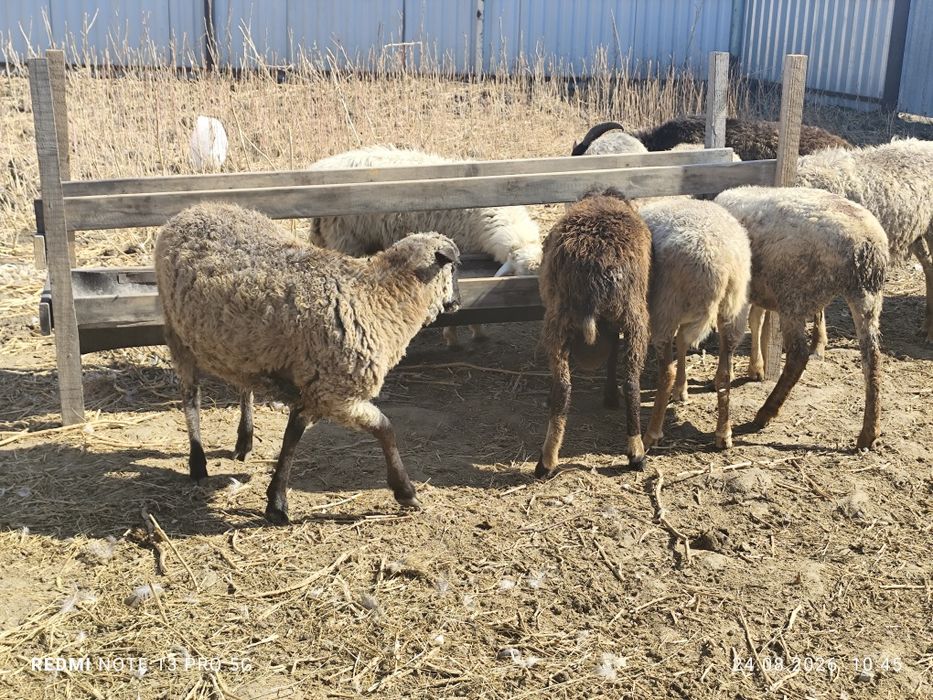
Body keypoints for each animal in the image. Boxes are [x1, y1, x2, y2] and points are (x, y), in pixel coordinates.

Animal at [154, 202, 461, 523]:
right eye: (455, 268)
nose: (457, 303)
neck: (382, 298)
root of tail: (193, 209)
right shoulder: (336, 394)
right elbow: (385, 428)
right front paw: (406, 491)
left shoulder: (313, 385)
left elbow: (292, 438)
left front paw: (276, 499)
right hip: (175, 330)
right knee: (191, 397)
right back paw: (197, 462)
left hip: (243, 345)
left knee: (243, 386)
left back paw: (244, 440)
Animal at [535, 189, 652, 477]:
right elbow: (611, 357)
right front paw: (609, 396)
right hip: (633, 317)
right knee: (631, 383)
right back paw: (636, 453)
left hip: (558, 320)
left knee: (564, 387)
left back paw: (546, 462)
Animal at [639, 199, 752, 450]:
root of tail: (718, 266)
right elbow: (682, 343)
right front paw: (682, 389)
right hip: (734, 308)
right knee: (724, 374)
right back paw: (723, 433)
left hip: (666, 307)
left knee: (666, 372)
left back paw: (652, 434)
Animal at [714, 187, 888, 449]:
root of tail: (865, 242)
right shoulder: (758, 291)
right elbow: (757, 320)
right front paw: (755, 367)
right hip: (867, 294)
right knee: (872, 357)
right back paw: (869, 432)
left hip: (794, 296)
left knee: (798, 355)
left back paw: (765, 413)